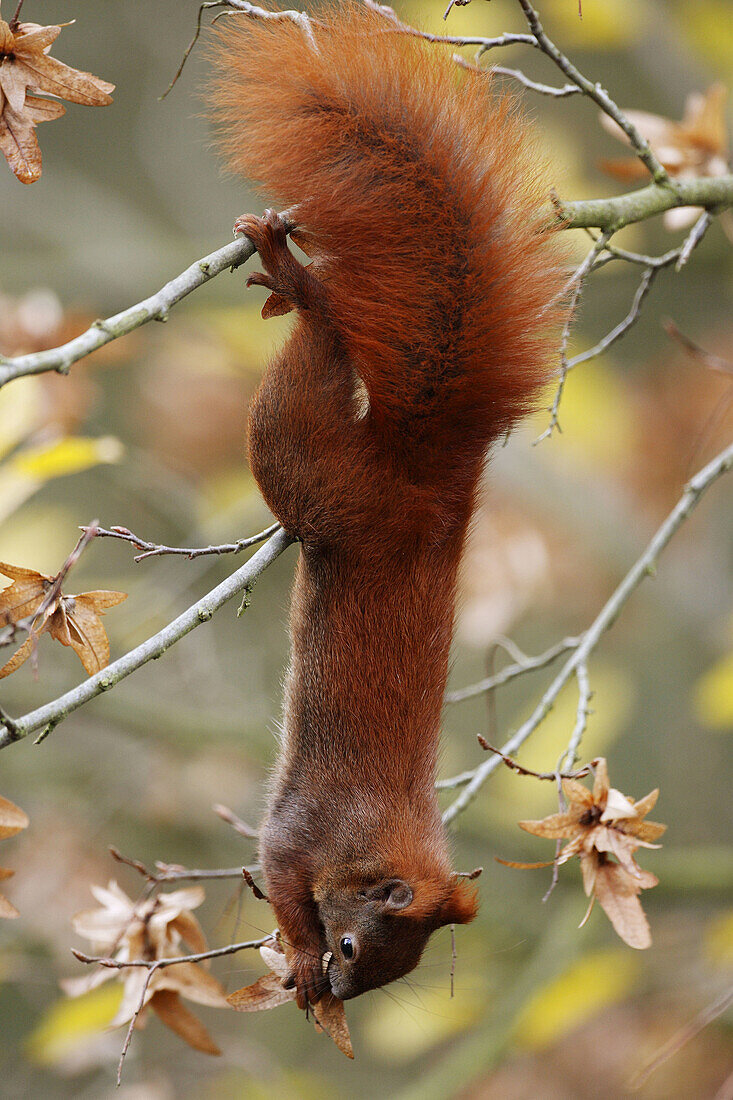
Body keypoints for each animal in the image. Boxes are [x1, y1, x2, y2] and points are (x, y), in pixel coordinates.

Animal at [205, 2, 563, 1012]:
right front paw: (294, 954)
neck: (374, 841)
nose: (336, 979)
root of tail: (435, 483)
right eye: (354, 946)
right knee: (322, 350)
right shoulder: (303, 828)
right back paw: (301, 282)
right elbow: (281, 874)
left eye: (376, 969)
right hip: (309, 471)